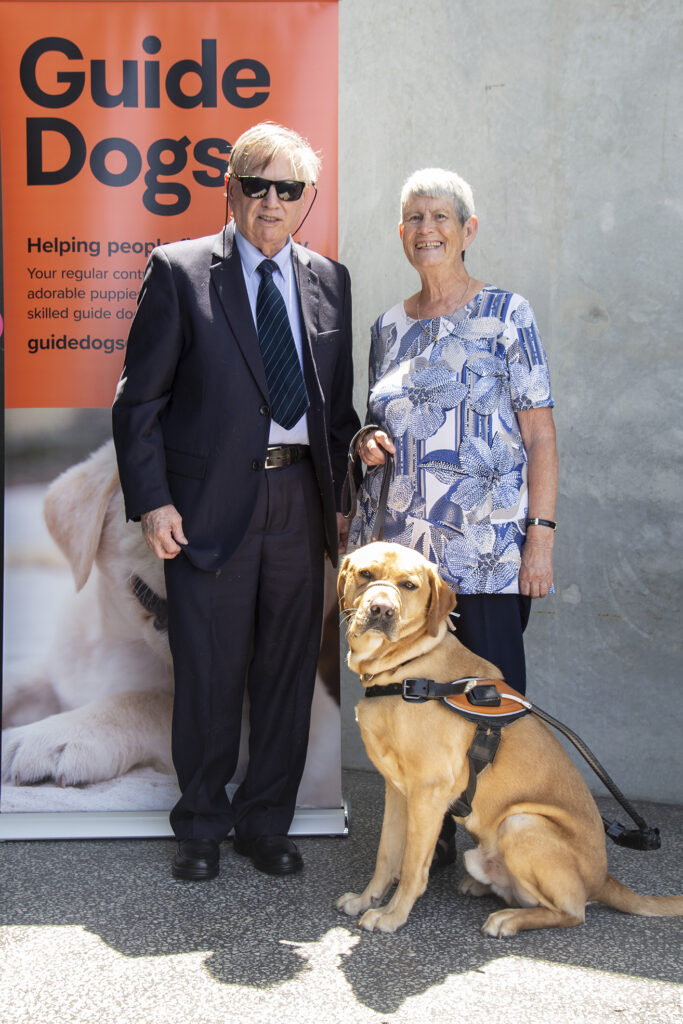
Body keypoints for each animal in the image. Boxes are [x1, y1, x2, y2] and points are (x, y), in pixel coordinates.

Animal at [335, 544, 683, 937]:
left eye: (409, 585)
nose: (381, 610)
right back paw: (483, 886)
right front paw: (366, 899)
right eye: (365, 574)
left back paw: (509, 919)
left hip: (521, 822)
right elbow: (387, 855)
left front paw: (392, 915)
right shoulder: (397, 790)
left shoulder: (428, 791)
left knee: (572, 911)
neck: (406, 670)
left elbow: (411, 866)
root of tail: (603, 879)